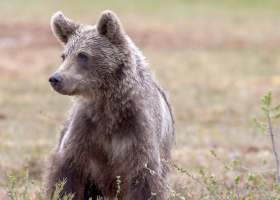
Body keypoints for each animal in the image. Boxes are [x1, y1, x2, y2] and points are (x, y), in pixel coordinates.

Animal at [44, 10, 174, 199]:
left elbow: (144, 180)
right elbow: (66, 174)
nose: (56, 79)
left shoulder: (138, 131)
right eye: (64, 56)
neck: (108, 105)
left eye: (83, 56)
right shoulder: (85, 129)